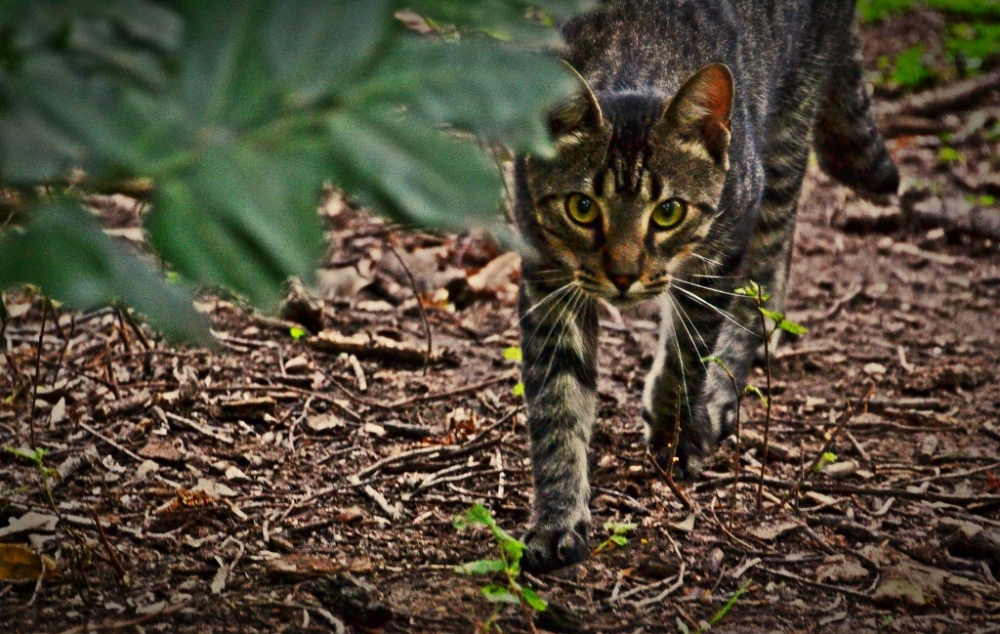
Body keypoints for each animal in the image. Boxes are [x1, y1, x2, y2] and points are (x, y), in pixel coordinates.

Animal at [512, 0, 896, 572]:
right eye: (581, 207)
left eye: (668, 211)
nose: (623, 276)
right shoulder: (547, 277)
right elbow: (558, 401)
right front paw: (558, 517)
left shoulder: (723, 246)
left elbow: (689, 352)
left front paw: (676, 433)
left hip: (783, 145)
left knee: (767, 280)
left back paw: (718, 395)